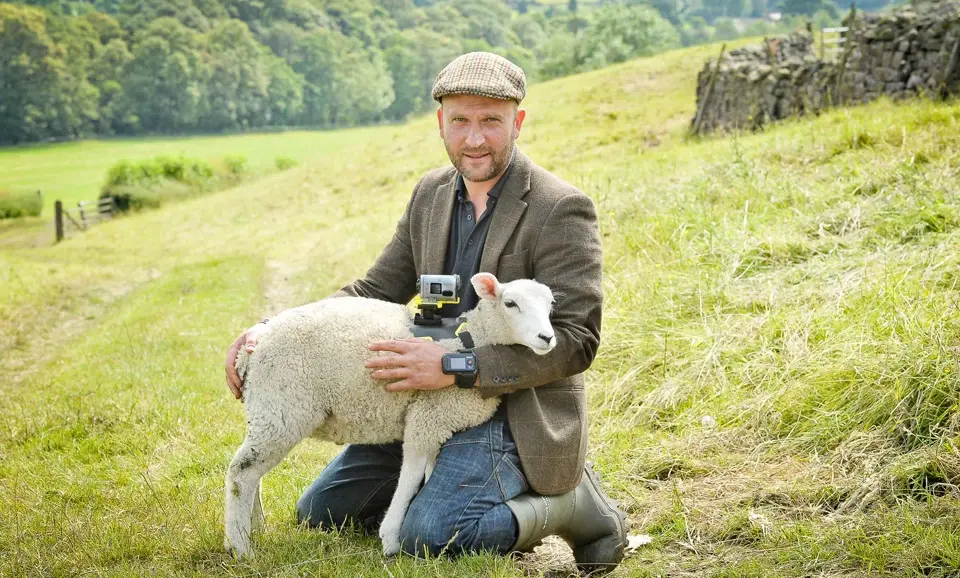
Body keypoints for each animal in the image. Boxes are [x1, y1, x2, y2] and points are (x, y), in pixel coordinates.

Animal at [225, 272, 556, 556]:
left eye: (551, 305)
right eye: (510, 304)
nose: (547, 338)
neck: (473, 340)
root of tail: (250, 352)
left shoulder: (439, 421)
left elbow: (428, 473)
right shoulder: (427, 417)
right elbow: (410, 476)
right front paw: (392, 537)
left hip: (270, 410)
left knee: (252, 471)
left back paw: (254, 529)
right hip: (282, 406)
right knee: (242, 472)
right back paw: (241, 546)